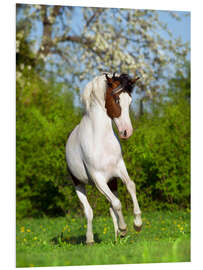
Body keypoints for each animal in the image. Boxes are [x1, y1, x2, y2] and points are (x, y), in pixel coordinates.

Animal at [66, 72, 142, 245]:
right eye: (117, 100)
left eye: (130, 101)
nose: (127, 132)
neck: (101, 140)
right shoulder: (98, 179)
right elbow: (117, 203)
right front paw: (124, 228)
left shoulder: (119, 169)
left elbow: (131, 186)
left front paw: (137, 224)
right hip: (79, 184)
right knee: (89, 211)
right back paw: (90, 239)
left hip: (111, 182)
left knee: (111, 207)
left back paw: (117, 237)